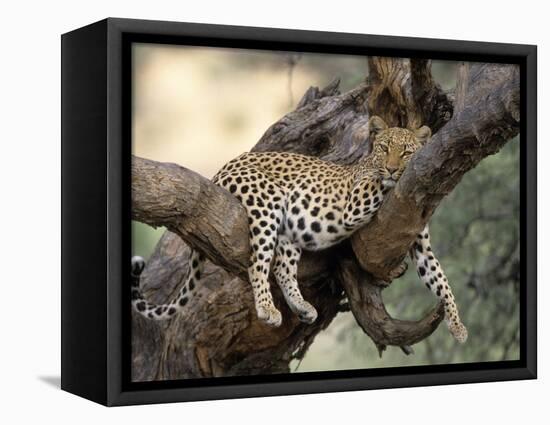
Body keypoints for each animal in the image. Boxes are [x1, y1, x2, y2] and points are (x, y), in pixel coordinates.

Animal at [133, 115, 470, 342]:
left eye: (407, 151)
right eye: (384, 148)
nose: (392, 167)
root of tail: (224, 166)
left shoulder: (421, 246)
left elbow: (441, 281)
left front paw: (457, 326)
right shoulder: (354, 203)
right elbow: (376, 182)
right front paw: (385, 175)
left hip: (290, 229)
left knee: (282, 267)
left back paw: (303, 307)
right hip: (265, 203)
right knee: (258, 263)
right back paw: (267, 309)